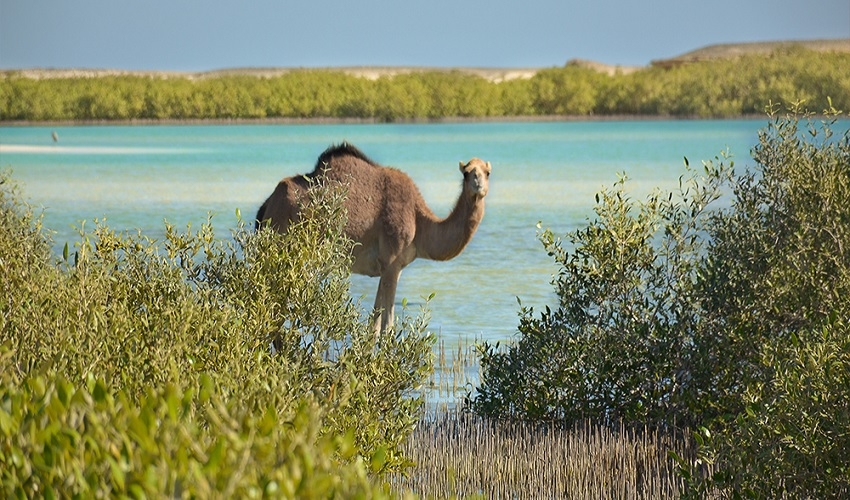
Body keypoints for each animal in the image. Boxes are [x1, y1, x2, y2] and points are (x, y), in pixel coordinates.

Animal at [253, 143, 490, 334]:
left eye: (487, 172)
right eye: (467, 173)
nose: (478, 184)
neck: (419, 219)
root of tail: (267, 206)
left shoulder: (389, 267)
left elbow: (374, 325)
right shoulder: (392, 262)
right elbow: (387, 327)